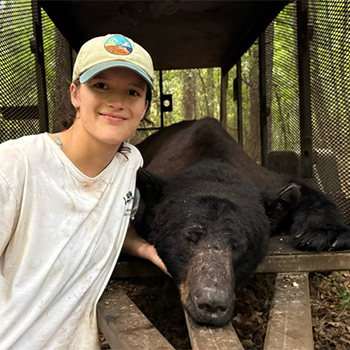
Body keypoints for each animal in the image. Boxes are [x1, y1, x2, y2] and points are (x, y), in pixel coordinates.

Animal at [135, 118, 350, 328]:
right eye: (190, 238)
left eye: (239, 246)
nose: (212, 304)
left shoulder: (263, 178)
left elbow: (302, 190)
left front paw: (324, 235)